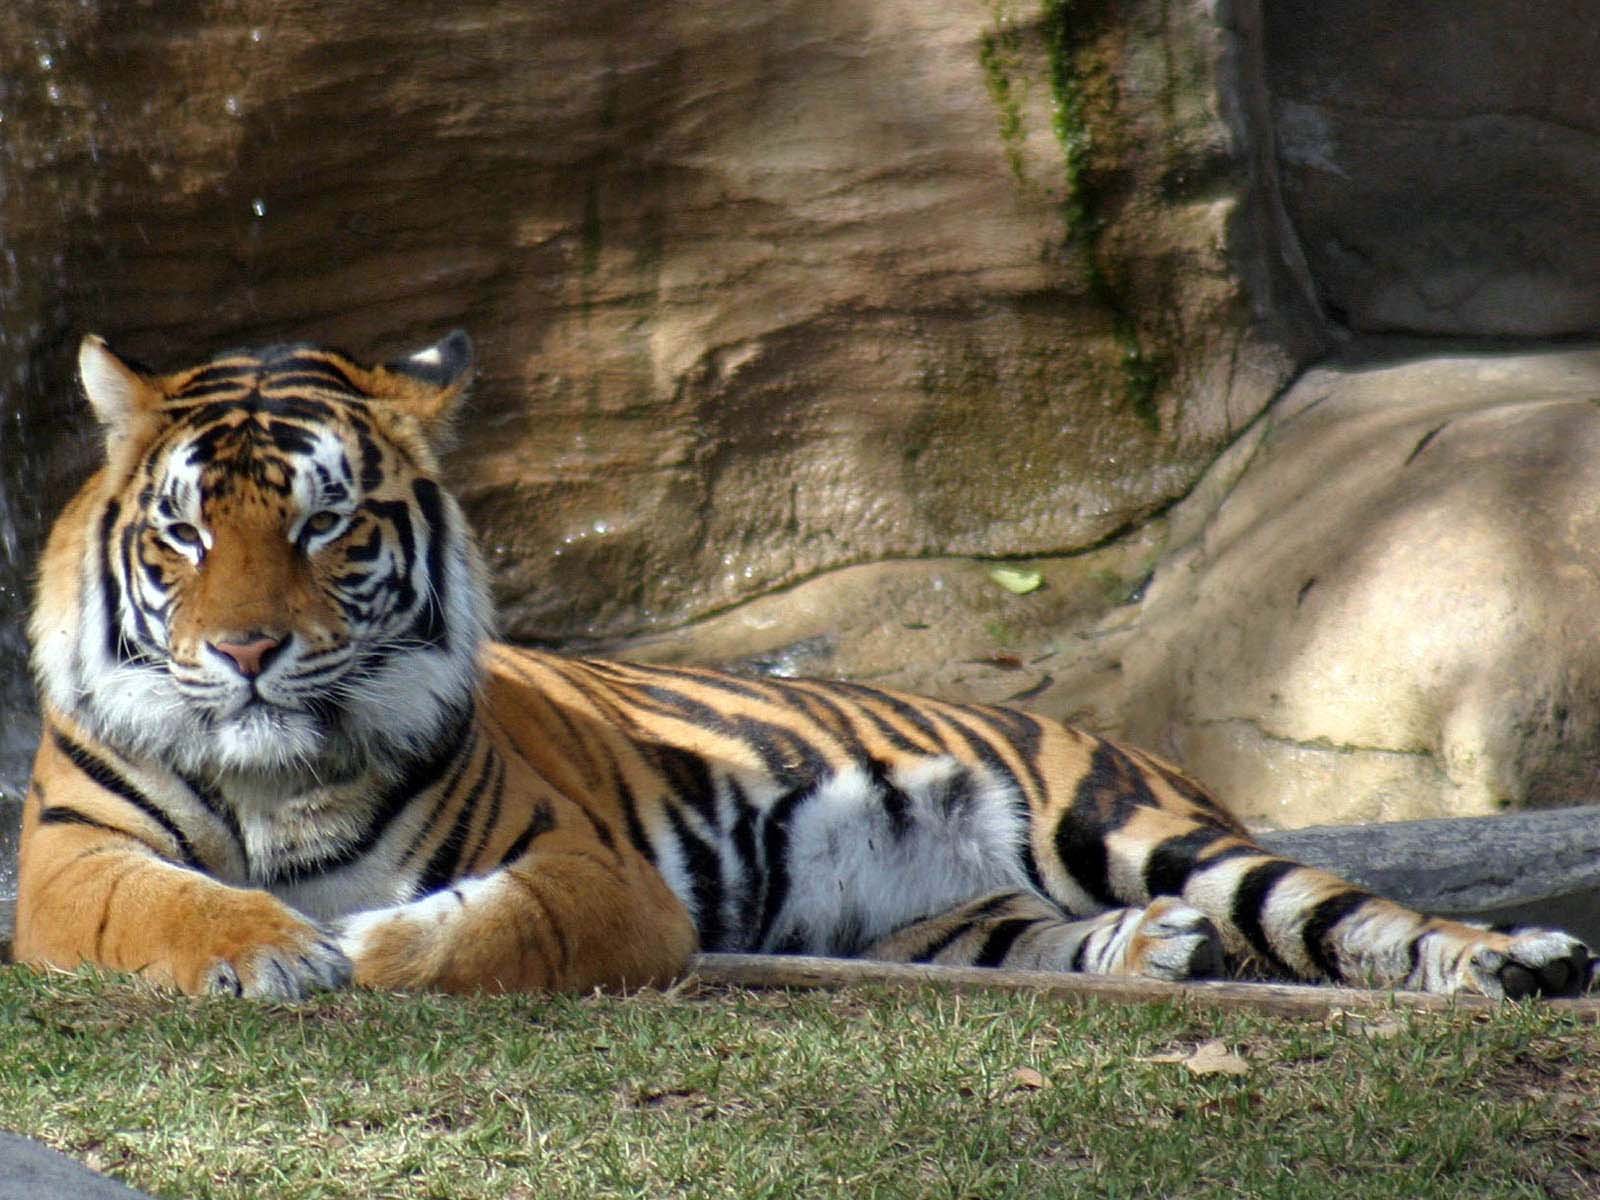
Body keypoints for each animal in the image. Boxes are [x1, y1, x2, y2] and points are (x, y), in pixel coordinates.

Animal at [13, 331, 1595, 1001]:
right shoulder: (66, 859)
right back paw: (1154, 955)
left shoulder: (586, 867)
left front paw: (368, 947)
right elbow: (166, 905)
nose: (248, 651)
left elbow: (477, 928)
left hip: (1133, 825)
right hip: (947, 919)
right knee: (1053, 936)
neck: (276, 776)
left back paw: (1517, 960)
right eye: (184, 532)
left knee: (1349, 916)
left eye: (327, 524)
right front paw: (276, 951)